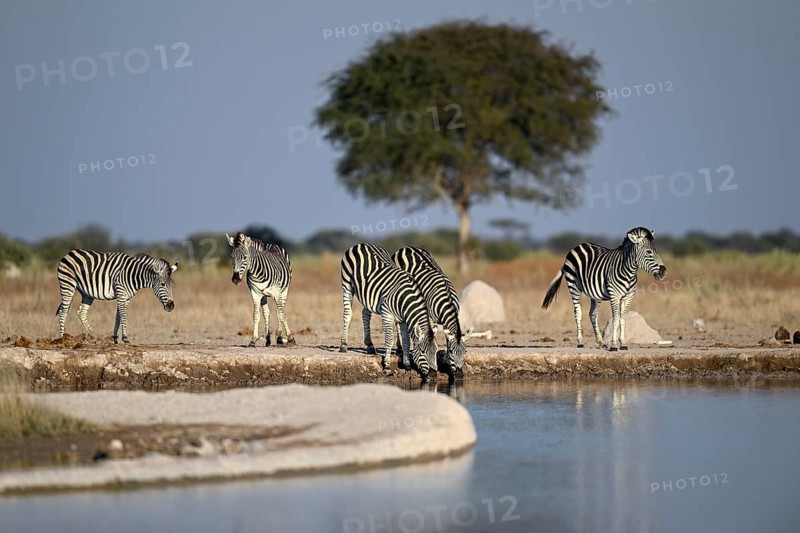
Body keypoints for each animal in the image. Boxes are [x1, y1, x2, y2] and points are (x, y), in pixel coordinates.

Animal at [339, 242, 438, 382]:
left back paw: (370, 345)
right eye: (423, 352)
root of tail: (362, 243)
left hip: (368, 294)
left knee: (365, 314)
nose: (434, 376)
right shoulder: (387, 314)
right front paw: (386, 366)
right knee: (348, 314)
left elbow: (406, 340)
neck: (404, 298)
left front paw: (407, 365)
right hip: (346, 284)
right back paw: (344, 345)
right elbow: (389, 340)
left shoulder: (403, 319)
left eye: (436, 352)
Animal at [392, 246, 466, 380]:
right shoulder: (430, 319)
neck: (447, 301)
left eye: (465, 352)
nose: (459, 376)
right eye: (452, 352)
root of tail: (406, 247)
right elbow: (432, 338)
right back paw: (399, 345)